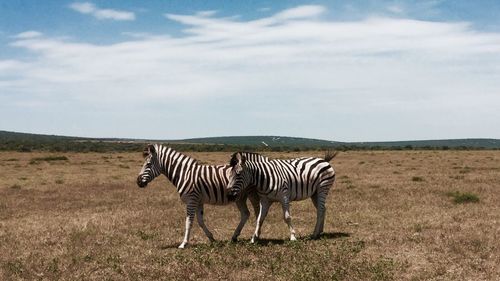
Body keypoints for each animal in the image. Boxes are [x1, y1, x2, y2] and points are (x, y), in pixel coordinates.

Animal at [137, 144, 270, 247]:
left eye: (148, 164)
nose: (138, 182)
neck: (184, 174)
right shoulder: (198, 201)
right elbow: (200, 221)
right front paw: (211, 238)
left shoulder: (191, 199)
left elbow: (189, 221)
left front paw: (184, 243)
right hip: (239, 196)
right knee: (246, 214)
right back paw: (235, 237)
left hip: (251, 193)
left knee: (258, 213)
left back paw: (256, 237)